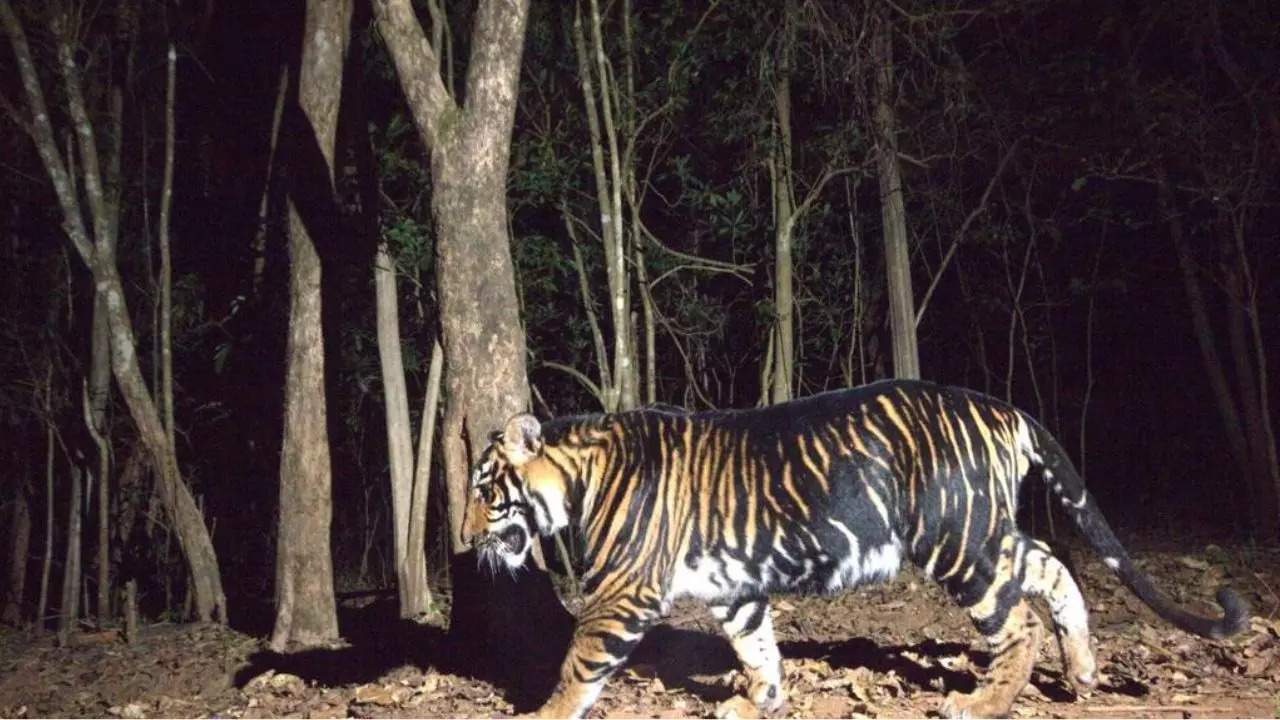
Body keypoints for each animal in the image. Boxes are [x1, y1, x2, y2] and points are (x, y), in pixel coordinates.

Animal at [465, 379, 1244, 712]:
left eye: (484, 488)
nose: (465, 538)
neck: (579, 478)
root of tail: (1003, 406)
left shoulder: (622, 594)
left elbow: (577, 667)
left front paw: (546, 716)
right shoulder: (734, 589)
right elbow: (756, 645)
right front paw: (760, 700)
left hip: (957, 542)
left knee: (1017, 621)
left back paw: (981, 704)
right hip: (987, 532)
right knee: (1053, 569)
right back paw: (1081, 670)